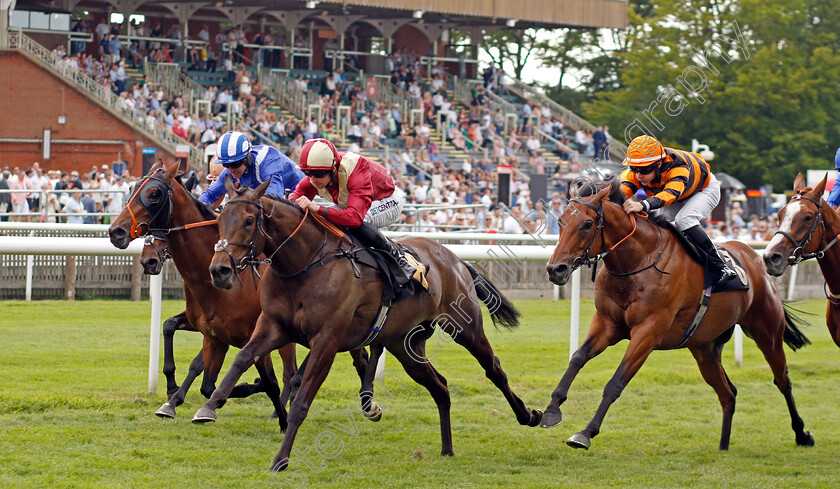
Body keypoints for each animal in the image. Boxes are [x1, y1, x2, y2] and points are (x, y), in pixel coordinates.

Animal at [194, 177, 540, 470]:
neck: (305, 264)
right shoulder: (273, 327)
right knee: (440, 387)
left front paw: (281, 460)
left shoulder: (327, 341)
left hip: (465, 327)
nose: (219, 270)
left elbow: (301, 402)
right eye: (219, 219)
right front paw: (209, 407)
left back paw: (529, 415)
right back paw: (447, 448)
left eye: (249, 221)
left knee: (493, 369)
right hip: (405, 344)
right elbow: (241, 358)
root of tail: (455, 259)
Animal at [540, 178, 812, 450]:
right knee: (728, 393)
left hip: (767, 333)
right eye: (560, 221)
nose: (555, 269)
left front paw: (585, 432)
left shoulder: (648, 332)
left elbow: (616, 382)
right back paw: (723, 446)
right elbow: (577, 357)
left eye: (587, 224)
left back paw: (802, 434)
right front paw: (552, 410)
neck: (639, 261)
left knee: (782, 380)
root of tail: (757, 258)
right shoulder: (607, 324)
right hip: (705, 349)